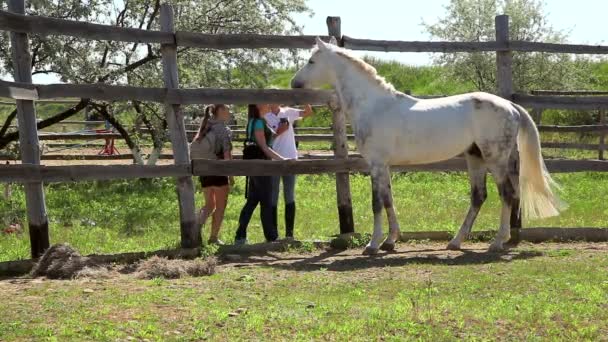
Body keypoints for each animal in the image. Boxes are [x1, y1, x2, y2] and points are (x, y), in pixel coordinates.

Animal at [292, 38, 564, 255]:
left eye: (311, 61)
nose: (295, 84)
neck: (374, 105)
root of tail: (510, 106)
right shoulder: (385, 166)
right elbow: (389, 199)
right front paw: (390, 241)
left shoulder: (376, 164)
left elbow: (377, 203)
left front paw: (372, 245)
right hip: (475, 157)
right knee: (479, 197)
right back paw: (456, 242)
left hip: (494, 159)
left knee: (507, 194)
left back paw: (496, 243)